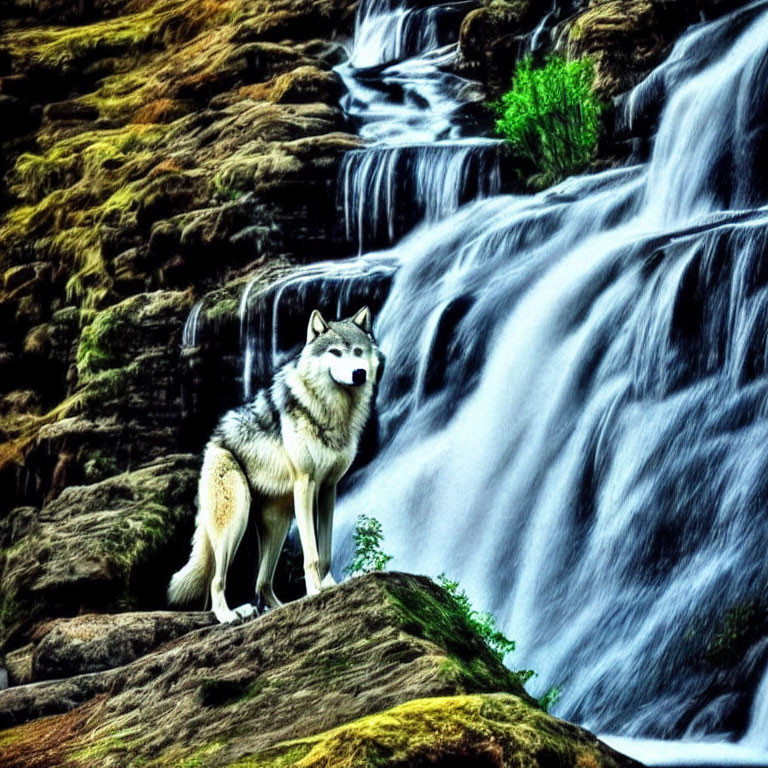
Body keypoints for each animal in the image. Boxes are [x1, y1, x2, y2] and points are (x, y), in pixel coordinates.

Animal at [168, 306, 384, 624]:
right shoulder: (305, 484)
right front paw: (315, 592)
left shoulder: (328, 489)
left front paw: (331, 586)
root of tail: (213, 442)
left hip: (278, 524)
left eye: (357, 351)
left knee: (262, 582)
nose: (360, 374)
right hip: (236, 521)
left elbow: (326, 551)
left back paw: (276, 609)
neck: (331, 411)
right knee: (217, 580)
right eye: (335, 352)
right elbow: (311, 554)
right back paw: (228, 615)